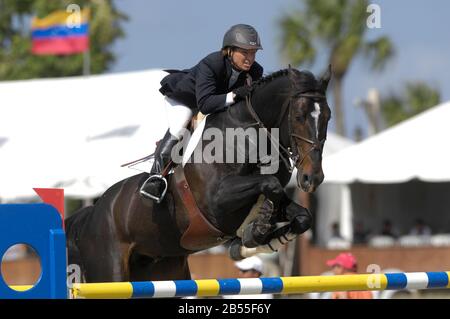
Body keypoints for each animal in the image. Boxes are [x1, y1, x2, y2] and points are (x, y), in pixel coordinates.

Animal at [65, 65, 332, 282]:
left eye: (328, 117)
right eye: (298, 116)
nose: (312, 178)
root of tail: (92, 213)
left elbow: (302, 216)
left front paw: (258, 239)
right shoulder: (216, 202)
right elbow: (270, 184)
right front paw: (255, 231)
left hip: (162, 269)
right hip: (110, 271)